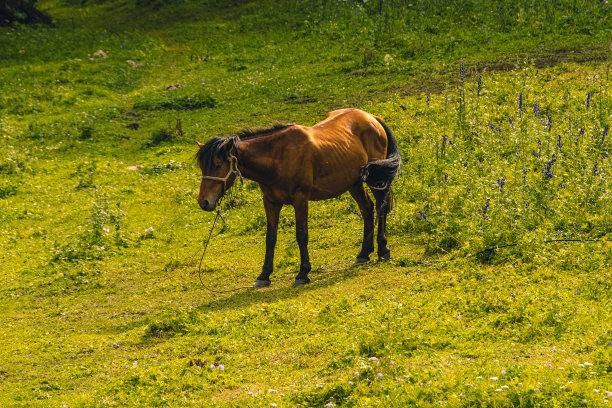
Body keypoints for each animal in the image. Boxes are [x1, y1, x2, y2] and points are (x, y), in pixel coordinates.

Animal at [196, 107, 402, 286]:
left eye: (218, 164)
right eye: (202, 167)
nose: (203, 202)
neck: (278, 158)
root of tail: (372, 118)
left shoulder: (300, 200)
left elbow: (301, 235)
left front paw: (303, 273)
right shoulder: (270, 202)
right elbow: (270, 237)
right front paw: (264, 275)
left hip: (375, 179)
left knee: (380, 208)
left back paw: (383, 249)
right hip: (354, 183)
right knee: (367, 210)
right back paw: (363, 253)